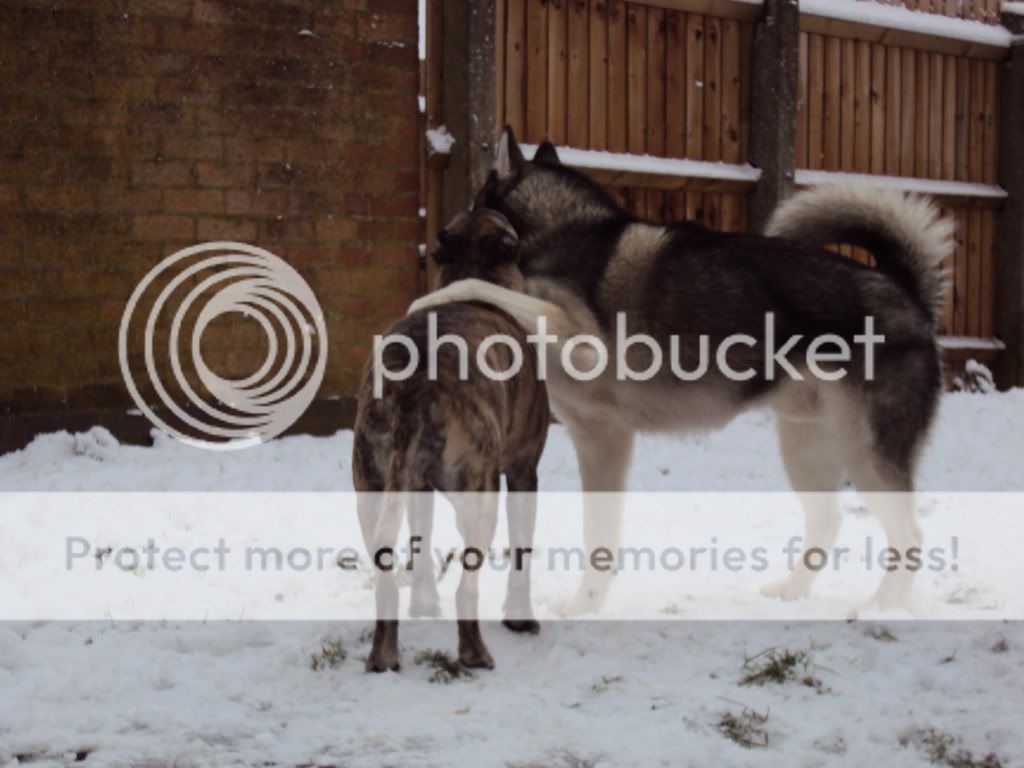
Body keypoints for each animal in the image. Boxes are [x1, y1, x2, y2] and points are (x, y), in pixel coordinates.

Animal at [352, 208, 548, 671]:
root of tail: (412, 383)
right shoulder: (523, 473)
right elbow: (522, 550)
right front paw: (521, 619)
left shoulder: (416, 487)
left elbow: (420, 542)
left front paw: (424, 604)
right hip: (480, 494)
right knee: (467, 587)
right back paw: (475, 653)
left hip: (373, 485)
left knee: (386, 575)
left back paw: (383, 657)